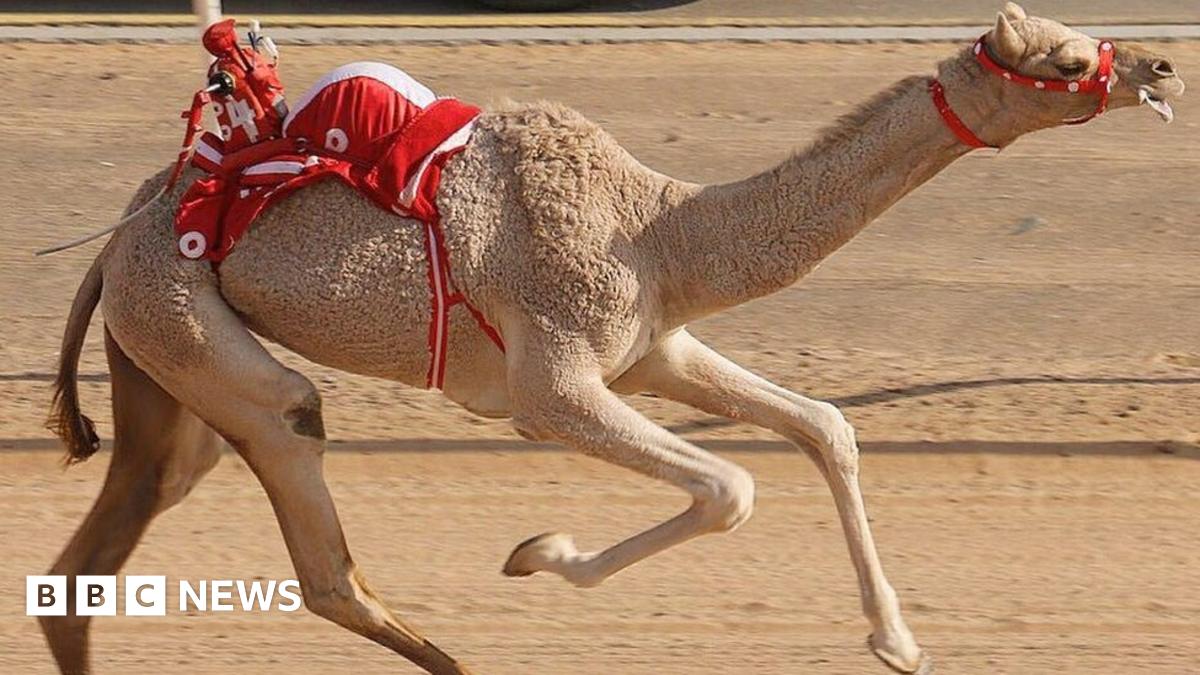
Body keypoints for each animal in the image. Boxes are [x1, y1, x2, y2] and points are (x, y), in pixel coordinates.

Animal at [39, 4, 1184, 674]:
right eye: (1067, 54)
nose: (1162, 64)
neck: (656, 227)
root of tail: (120, 237)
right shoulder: (551, 386)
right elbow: (731, 487)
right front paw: (538, 553)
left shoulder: (652, 346)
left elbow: (825, 427)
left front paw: (898, 641)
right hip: (182, 317)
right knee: (303, 476)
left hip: (159, 360)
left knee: (105, 549)